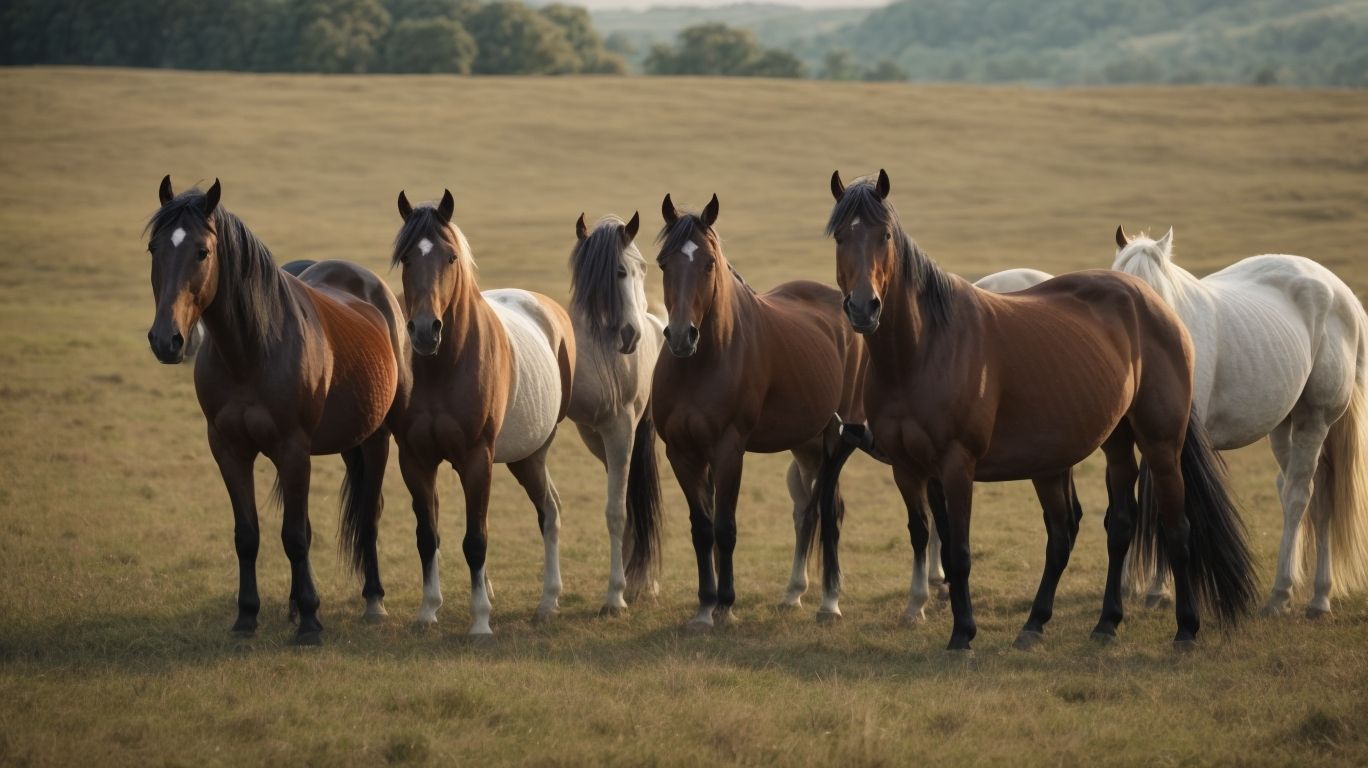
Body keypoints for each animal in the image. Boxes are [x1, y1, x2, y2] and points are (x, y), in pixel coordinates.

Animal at [144, 176, 409, 645]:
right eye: (154, 248)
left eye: (202, 251)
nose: (166, 340)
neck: (250, 351)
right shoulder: (228, 449)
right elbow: (249, 535)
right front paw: (248, 616)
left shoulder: (292, 449)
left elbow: (296, 536)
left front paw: (311, 624)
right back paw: (293, 603)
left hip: (375, 439)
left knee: (367, 517)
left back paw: (373, 600)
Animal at [388, 190, 576, 636]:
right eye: (406, 258)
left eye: (450, 257)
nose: (425, 331)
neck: (443, 365)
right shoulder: (415, 460)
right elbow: (428, 535)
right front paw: (428, 610)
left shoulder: (476, 459)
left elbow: (475, 541)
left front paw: (480, 623)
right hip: (521, 459)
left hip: (532, 455)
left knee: (549, 513)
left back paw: (548, 601)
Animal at [650, 192, 868, 631]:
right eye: (664, 262)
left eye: (708, 263)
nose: (681, 336)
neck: (700, 364)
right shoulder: (681, 453)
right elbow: (702, 529)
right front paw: (704, 606)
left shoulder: (728, 451)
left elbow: (725, 527)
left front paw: (725, 604)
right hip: (806, 444)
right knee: (808, 514)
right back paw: (793, 593)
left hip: (836, 440)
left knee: (828, 510)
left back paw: (829, 602)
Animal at [820, 170, 1257, 650]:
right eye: (841, 236)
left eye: (885, 235)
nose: (864, 307)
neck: (921, 350)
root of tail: (1155, 303)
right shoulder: (913, 468)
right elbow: (939, 544)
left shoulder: (957, 465)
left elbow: (959, 553)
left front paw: (963, 635)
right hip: (1113, 441)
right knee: (1109, 528)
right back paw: (1085, 623)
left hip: (1161, 443)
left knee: (1176, 528)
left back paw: (1185, 629)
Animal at [1113, 227, 1368, 617]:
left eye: (1158, 298)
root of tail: (1340, 292)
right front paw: (1131, 585)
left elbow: (1165, 500)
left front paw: (1158, 587)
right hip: (1284, 426)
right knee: (1313, 494)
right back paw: (1312, 594)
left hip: (1315, 420)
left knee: (1301, 495)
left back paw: (1287, 595)